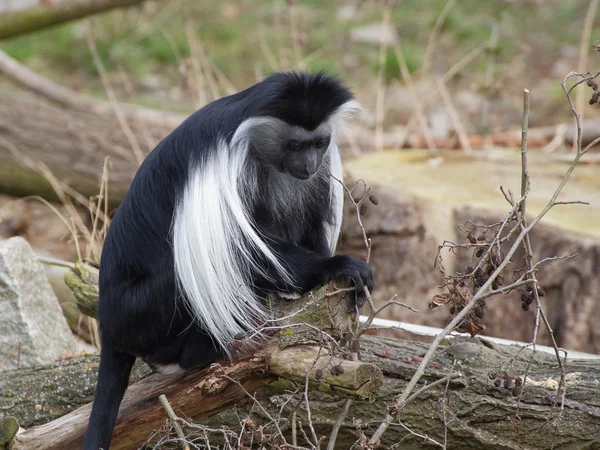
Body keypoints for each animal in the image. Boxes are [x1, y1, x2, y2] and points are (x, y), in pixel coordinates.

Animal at [84, 72, 376, 448]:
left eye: (319, 143)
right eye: (295, 146)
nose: (308, 165)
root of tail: (107, 320)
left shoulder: (316, 176)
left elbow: (309, 221)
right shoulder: (227, 168)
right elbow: (243, 252)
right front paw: (339, 266)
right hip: (137, 310)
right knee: (184, 275)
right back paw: (195, 353)